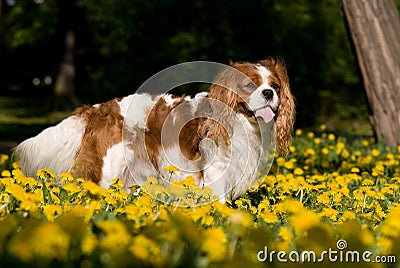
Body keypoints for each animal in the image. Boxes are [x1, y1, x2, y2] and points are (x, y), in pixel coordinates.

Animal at [14, 58, 294, 201]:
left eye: (275, 87)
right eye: (250, 85)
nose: (268, 94)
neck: (238, 119)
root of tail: (98, 108)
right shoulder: (216, 171)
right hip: (109, 167)